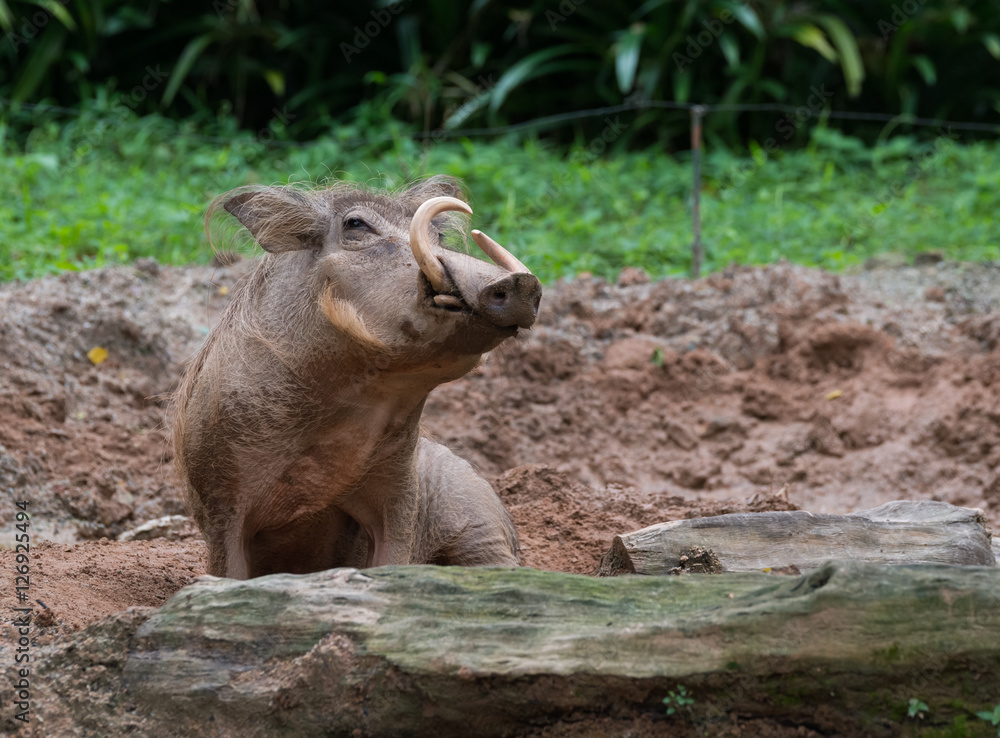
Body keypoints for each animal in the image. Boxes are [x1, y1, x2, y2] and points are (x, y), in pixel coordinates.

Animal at [172, 176, 541, 579]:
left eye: (440, 235)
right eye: (355, 225)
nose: (522, 283)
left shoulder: (398, 498)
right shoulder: (223, 511)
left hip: (479, 531)